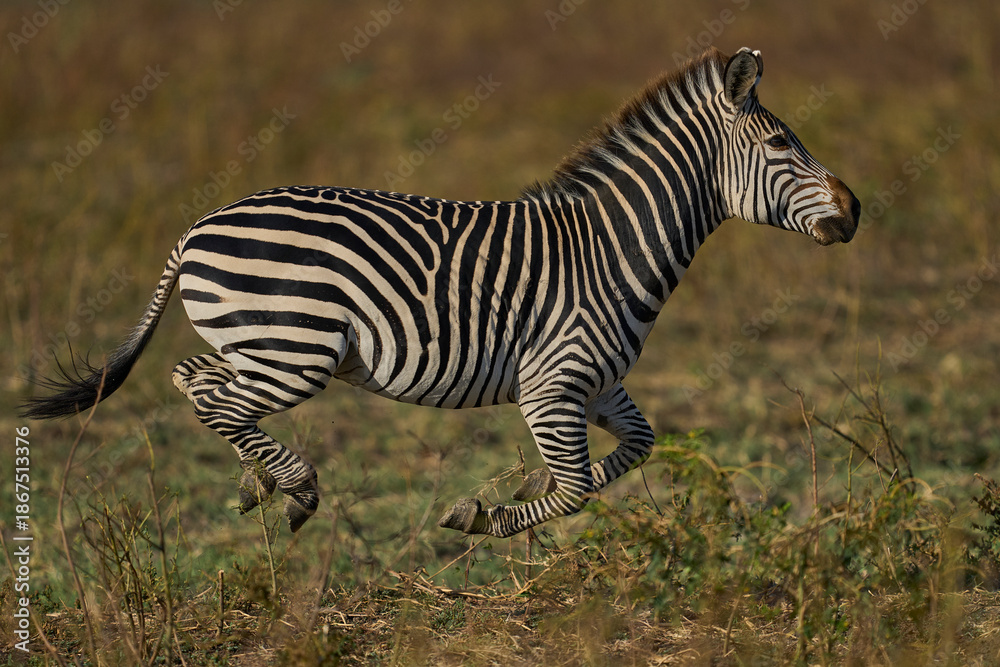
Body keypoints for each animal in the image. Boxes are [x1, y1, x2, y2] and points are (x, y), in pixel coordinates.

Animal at [20, 47, 860, 538]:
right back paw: (296, 490)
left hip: (259, 344)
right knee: (215, 399)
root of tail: (194, 227)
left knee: (195, 379)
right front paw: (484, 514)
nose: (856, 210)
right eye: (781, 143)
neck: (612, 247)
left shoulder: (595, 381)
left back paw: (261, 483)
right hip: (293, 348)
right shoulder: (552, 382)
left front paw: (507, 500)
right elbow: (576, 487)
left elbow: (635, 449)